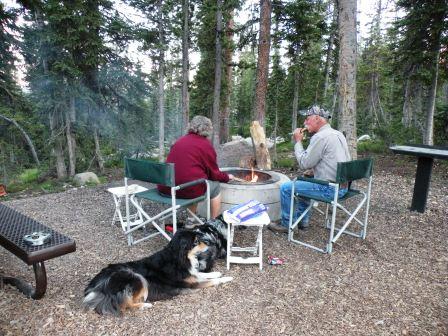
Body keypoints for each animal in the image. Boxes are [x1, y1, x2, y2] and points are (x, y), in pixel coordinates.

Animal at [84, 218, 229, 316]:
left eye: (198, 238)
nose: (209, 243)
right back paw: (145, 305)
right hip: (136, 276)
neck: (179, 257)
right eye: (196, 242)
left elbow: (204, 274)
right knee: (124, 305)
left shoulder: (191, 274)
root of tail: (97, 285)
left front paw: (217, 273)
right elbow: (211, 281)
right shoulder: (191, 283)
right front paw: (227, 278)